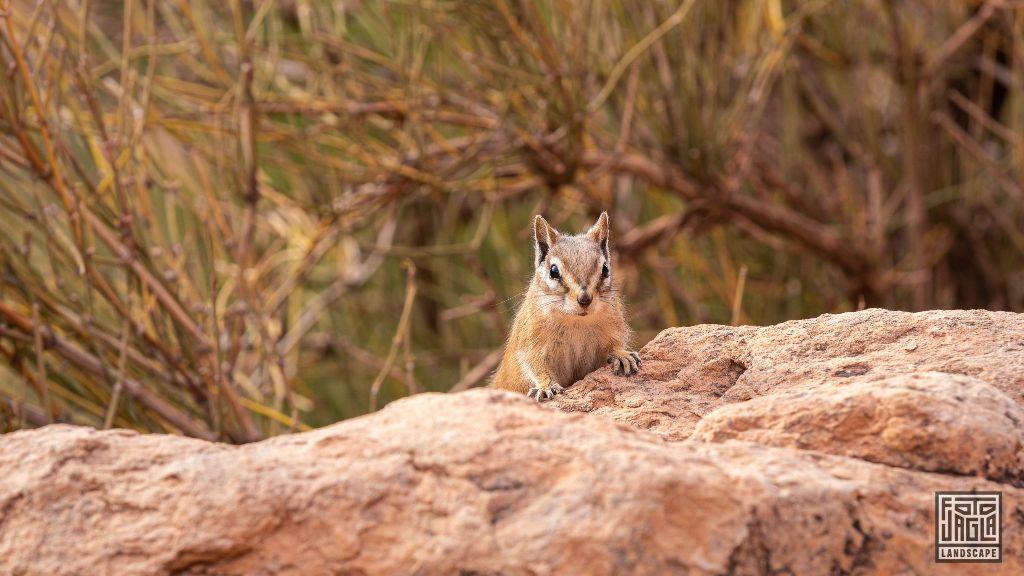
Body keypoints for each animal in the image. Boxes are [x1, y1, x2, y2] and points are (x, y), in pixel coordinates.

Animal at [491, 212, 640, 401]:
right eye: (553, 271)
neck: (575, 321)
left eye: (605, 269)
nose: (584, 299)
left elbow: (613, 346)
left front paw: (622, 355)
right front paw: (545, 386)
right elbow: (536, 366)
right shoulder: (531, 344)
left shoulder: (613, 329)